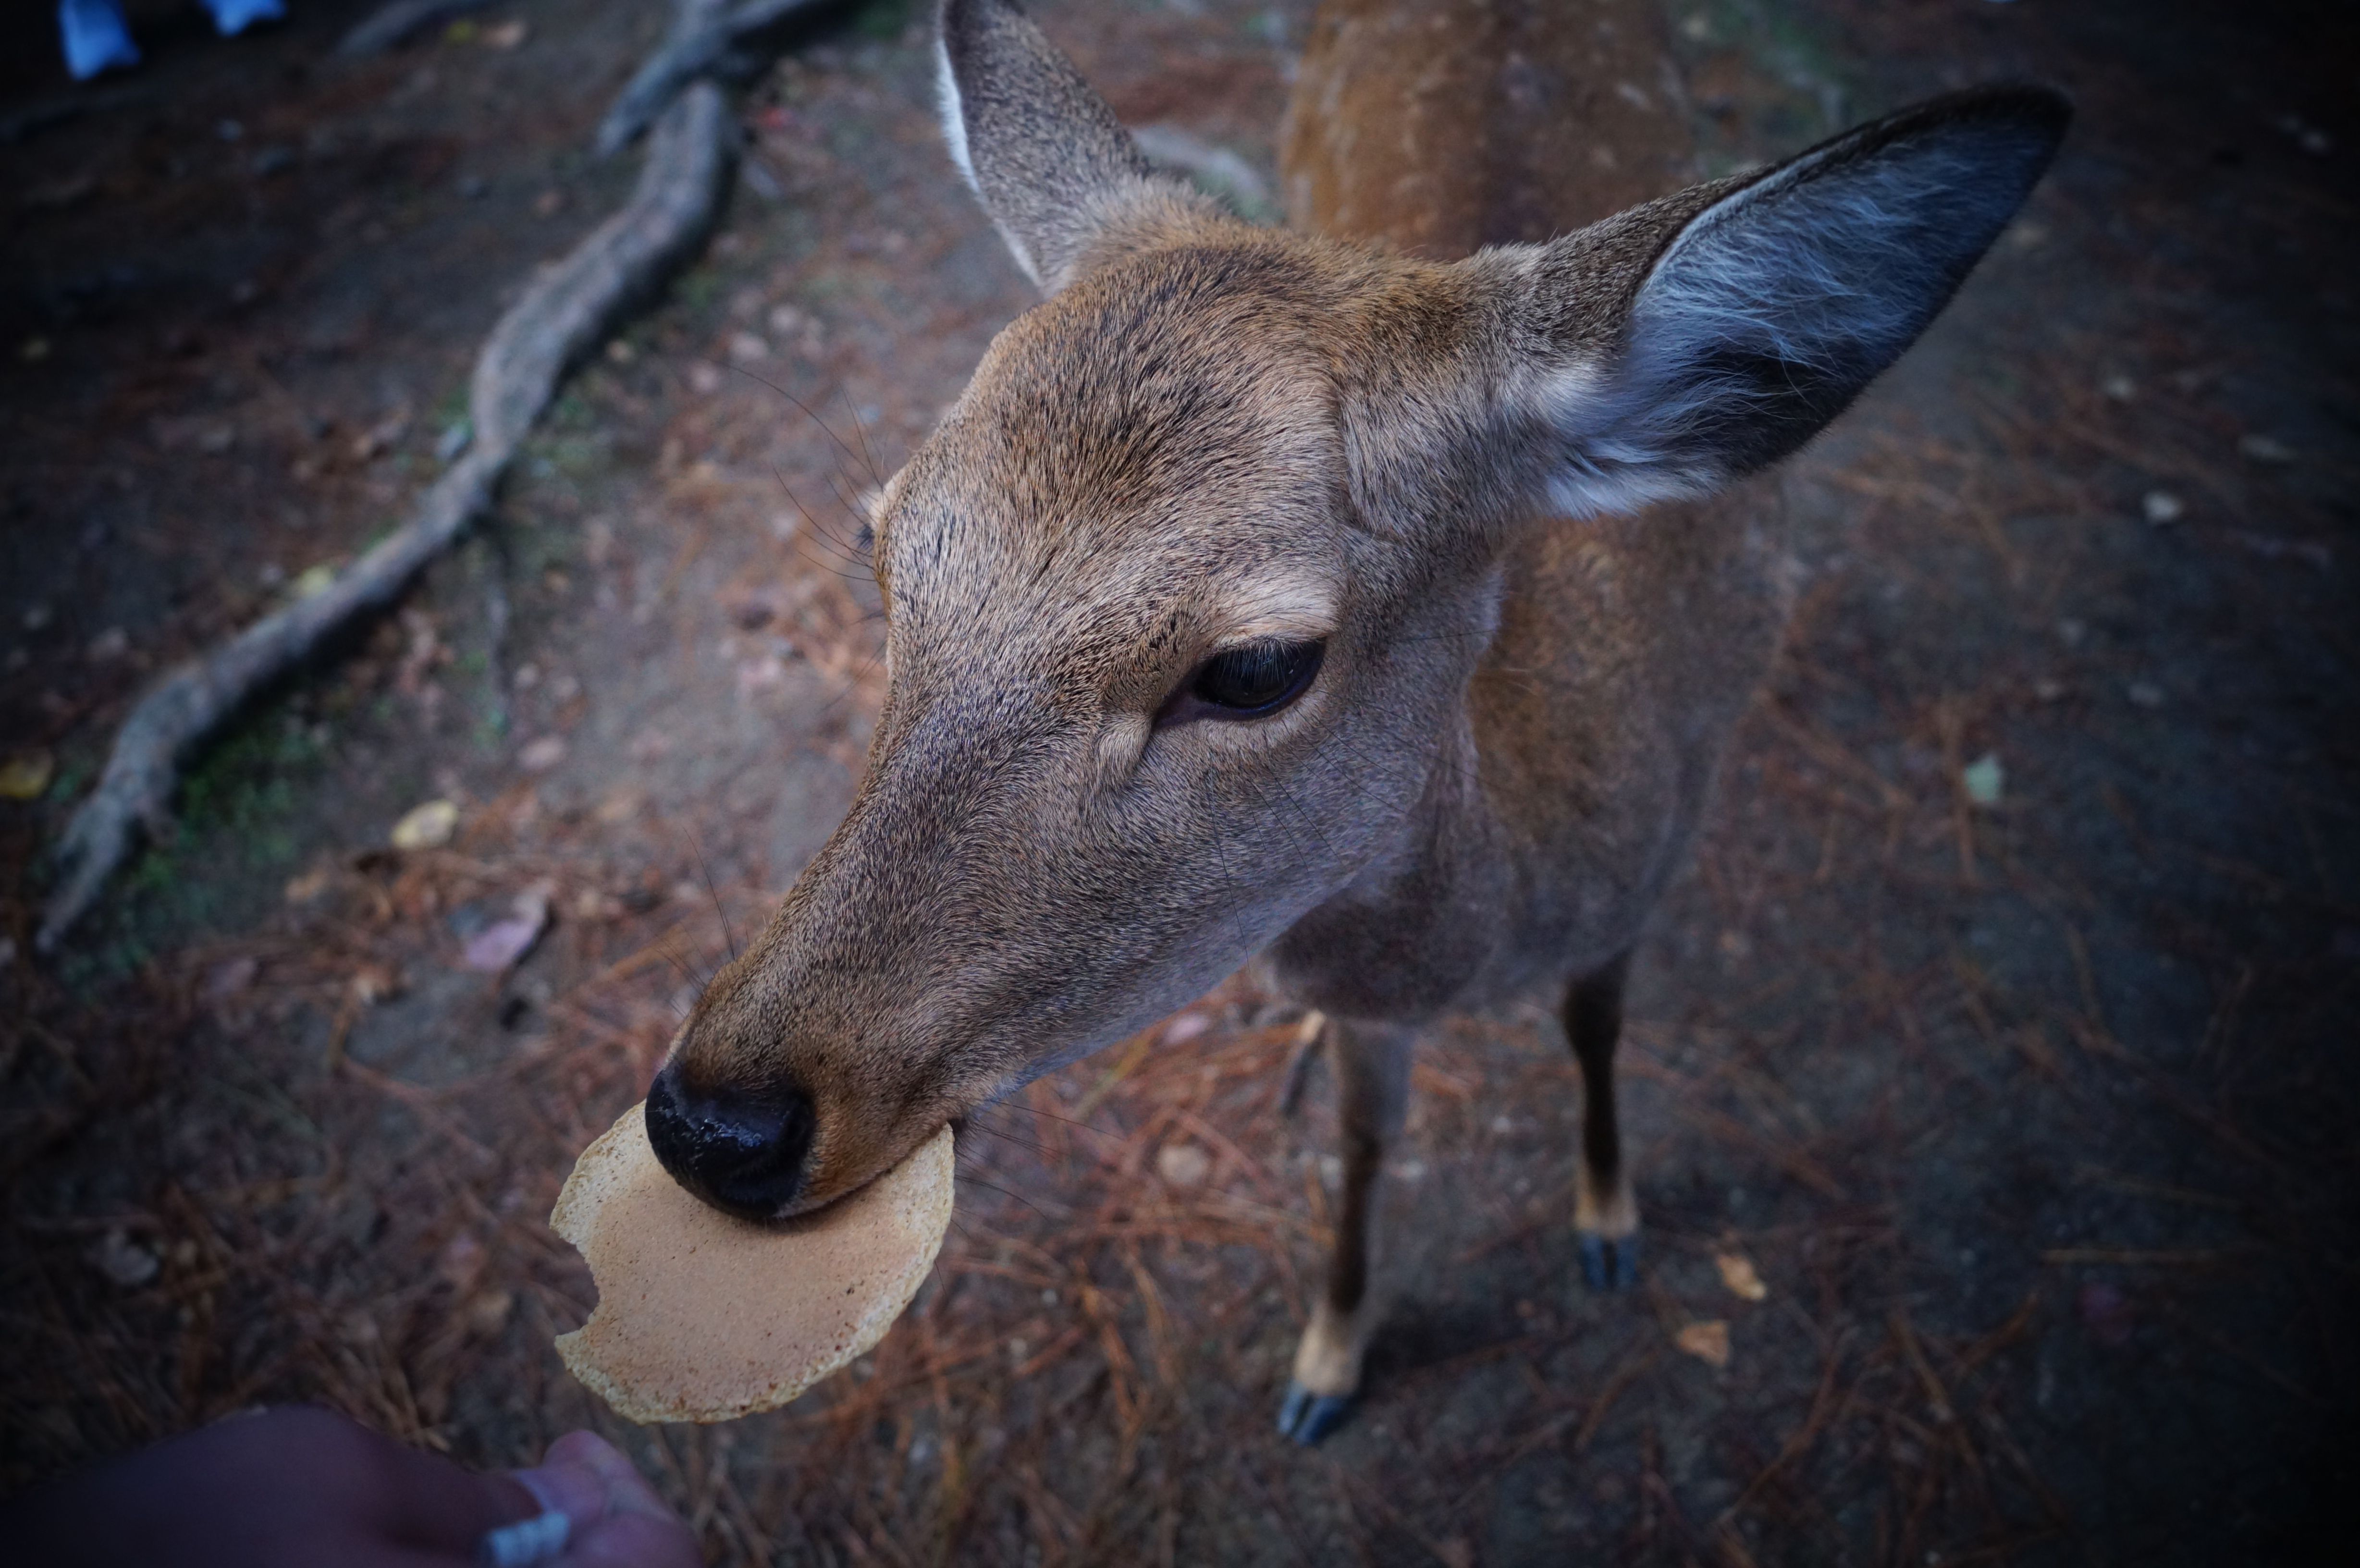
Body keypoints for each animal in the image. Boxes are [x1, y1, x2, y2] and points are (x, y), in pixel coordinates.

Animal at [638, 0, 2067, 1445]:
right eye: (881, 547)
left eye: (1256, 667)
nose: (716, 1126)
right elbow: (1367, 1140)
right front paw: (1327, 1359)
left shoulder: (1654, 862)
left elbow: (1597, 1029)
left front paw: (1608, 1224)